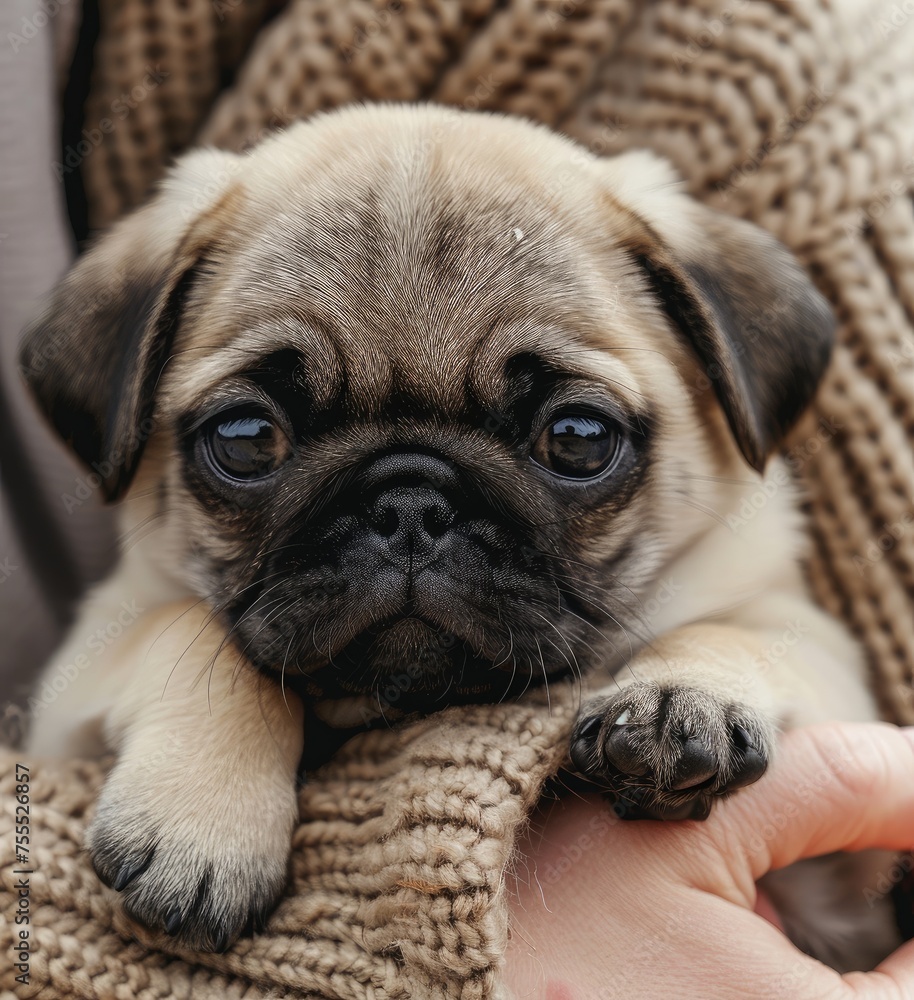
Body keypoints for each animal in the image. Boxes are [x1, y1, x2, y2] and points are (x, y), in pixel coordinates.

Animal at [19, 105, 892, 964]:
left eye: (577, 438)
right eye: (245, 439)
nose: (410, 506)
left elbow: (737, 632)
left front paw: (679, 698)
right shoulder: (79, 678)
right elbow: (190, 629)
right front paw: (202, 816)